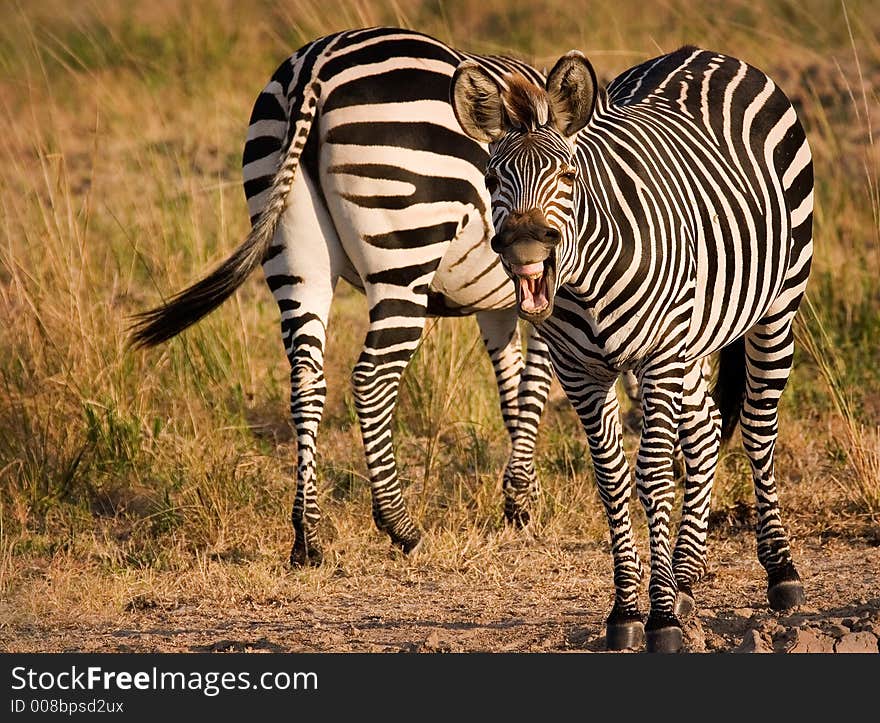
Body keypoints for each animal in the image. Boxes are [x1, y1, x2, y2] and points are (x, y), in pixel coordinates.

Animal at [129, 26, 556, 564]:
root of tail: (314, 65)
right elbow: (536, 383)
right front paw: (523, 499)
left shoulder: (502, 305)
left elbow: (513, 384)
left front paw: (523, 494)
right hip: (404, 245)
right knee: (371, 378)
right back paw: (400, 525)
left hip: (293, 247)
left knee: (306, 378)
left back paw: (308, 535)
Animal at [450, 48, 816, 652]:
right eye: (492, 177)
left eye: (568, 175)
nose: (524, 245)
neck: (584, 282)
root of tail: (705, 53)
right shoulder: (581, 372)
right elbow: (612, 481)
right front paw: (627, 611)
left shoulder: (658, 356)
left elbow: (652, 476)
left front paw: (661, 619)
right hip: (692, 338)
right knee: (707, 431)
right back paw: (687, 576)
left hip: (773, 307)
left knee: (759, 430)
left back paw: (781, 574)